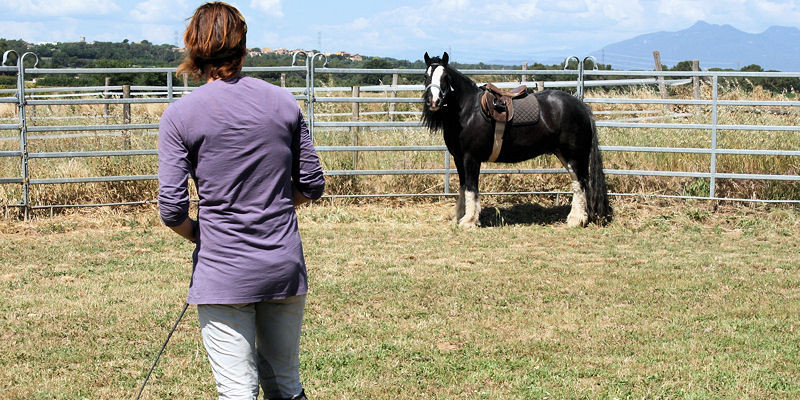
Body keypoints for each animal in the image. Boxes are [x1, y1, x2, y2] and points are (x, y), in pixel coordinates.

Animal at [422, 52, 608, 228]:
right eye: (426, 76)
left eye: (445, 77)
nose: (434, 101)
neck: (468, 111)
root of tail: (581, 106)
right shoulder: (459, 158)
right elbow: (463, 188)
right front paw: (459, 217)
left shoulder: (471, 158)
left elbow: (471, 189)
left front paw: (469, 221)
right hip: (565, 155)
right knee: (577, 182)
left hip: (575, 156)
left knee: (580, 183)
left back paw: (577, 219)